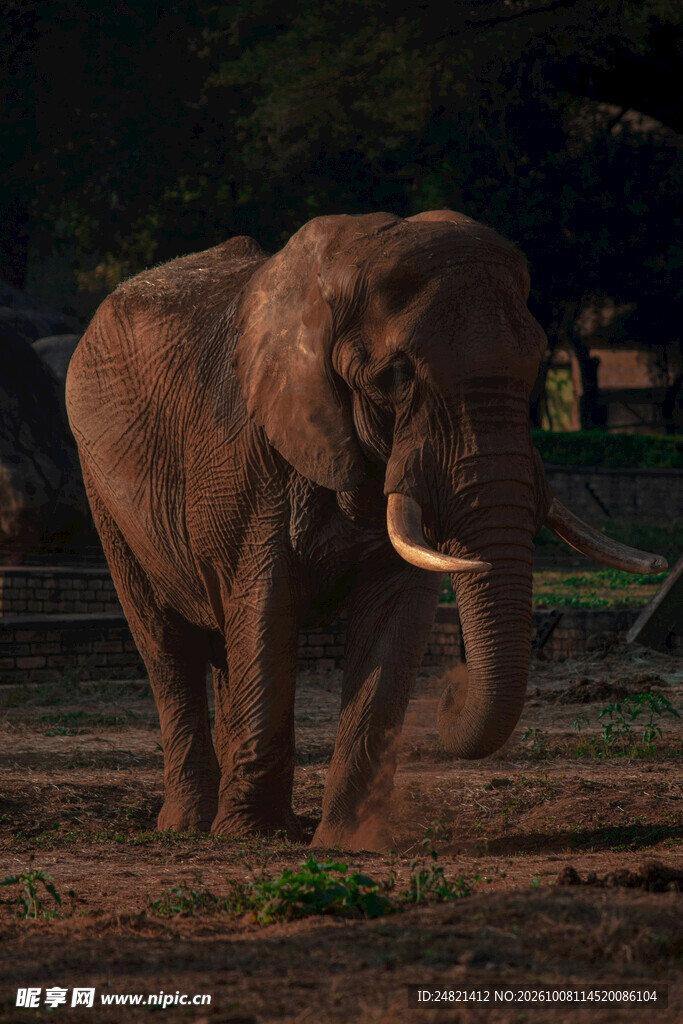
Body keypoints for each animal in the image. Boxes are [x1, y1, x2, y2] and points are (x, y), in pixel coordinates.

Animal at [65, 211, 666, 849]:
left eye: (534, 371)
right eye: (396, 377)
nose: (449, 692)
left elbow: (395, 613)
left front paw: (344, 842)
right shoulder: (245, 454)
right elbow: (266, 605)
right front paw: (253, 838)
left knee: (224, 643)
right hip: (102, 487)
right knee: (167, 641)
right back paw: (190, 827)